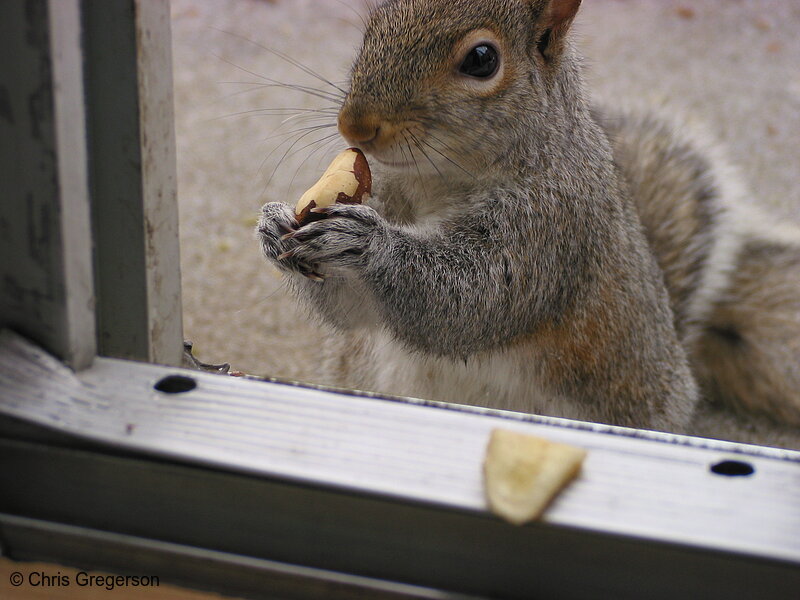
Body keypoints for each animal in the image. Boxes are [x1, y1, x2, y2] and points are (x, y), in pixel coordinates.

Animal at [258, 0, 800, 434]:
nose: (355, 125)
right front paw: (274, 224)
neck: (437, 181)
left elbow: (472, 298)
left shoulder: (555, 224)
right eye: (372, 28)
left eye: (482, 60)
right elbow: (355, 312)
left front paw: (365, 245)